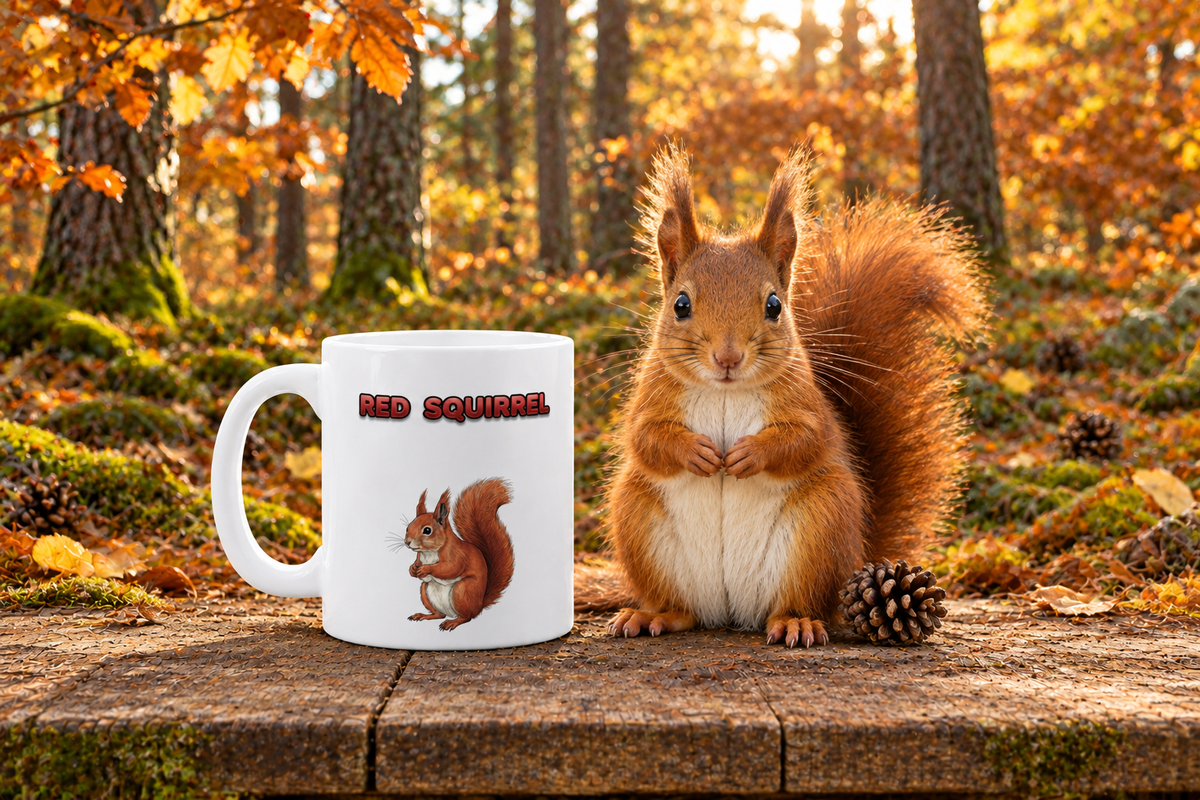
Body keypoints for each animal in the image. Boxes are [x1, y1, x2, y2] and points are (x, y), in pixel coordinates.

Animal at [403, 478, 515, 631]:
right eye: (408, 527)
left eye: (427, 530)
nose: (407, 542)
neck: (429, 552)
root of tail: (479, 605)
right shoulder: (420, 557)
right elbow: (419, 569)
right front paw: (413, 569)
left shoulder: (457, 555)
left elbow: (450, 568)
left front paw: (426, 569)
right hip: (425, 592)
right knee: (439, 614)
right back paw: (423, 615)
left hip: (462, 591)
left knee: (467, 617)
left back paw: (452, 622)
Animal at [606, 147, 989, 648]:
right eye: (681, 305)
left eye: (774, 305)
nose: (727, 357)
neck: (726, 392)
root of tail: (729, 611)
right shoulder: (650, 398)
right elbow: (645, 438)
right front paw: (697, 452)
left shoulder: (807, 405)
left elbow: (805, 440)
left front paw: (749, 454)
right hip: (639, 521)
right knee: (680, 608)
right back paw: (651, 616)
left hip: (819, 526)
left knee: (798, 602)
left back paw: (795, 622)